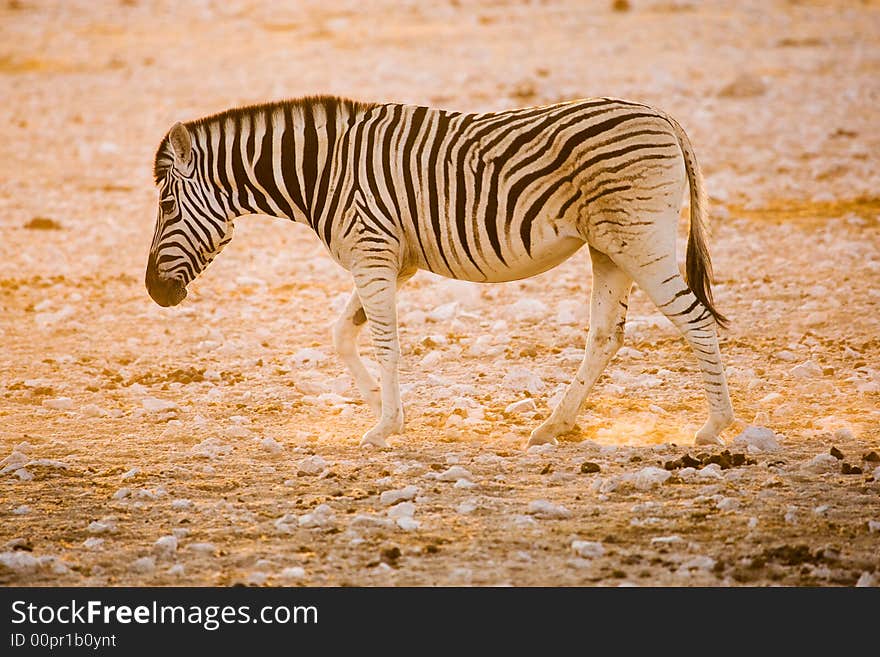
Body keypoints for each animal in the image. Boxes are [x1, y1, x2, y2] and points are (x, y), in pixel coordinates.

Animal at [146, 95, 736, 448]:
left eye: (168, 207)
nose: (153, 292)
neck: (324, 170)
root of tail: (663, 116)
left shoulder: (372, 251)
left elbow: (384, 342)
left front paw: (384, 426)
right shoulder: (392, 261)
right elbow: (342, 334)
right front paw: (383, 409)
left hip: (639, 238)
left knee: (695, 319)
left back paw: (715, 426)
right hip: (609, 247)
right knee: (606, 334)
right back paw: (555, 424)